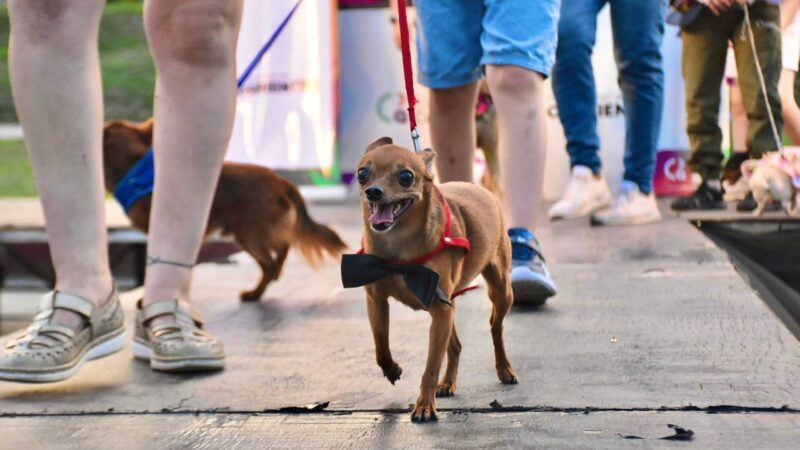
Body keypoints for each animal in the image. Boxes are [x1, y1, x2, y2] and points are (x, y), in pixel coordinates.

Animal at [103, 119, 346, 300]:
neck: (136, 176)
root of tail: (282, 182)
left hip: (250, 235)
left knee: (271, 261)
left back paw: (255, 293)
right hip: (254, 233)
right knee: (283, 246)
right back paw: (271, 277)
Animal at [352, 136, 516, 422]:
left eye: (406, 177)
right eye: (362, 174)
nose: (373, 191)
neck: (397, 247)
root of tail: (477, 187)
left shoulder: (440, 312)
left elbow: (430, 366)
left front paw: (424, 406)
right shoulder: (378, 302)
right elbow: (381, 347)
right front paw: (392, 369)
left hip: (500, 292)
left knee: (496, 328)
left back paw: (504, 368)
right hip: (447, 308)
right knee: (456, 346)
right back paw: (448, 383)